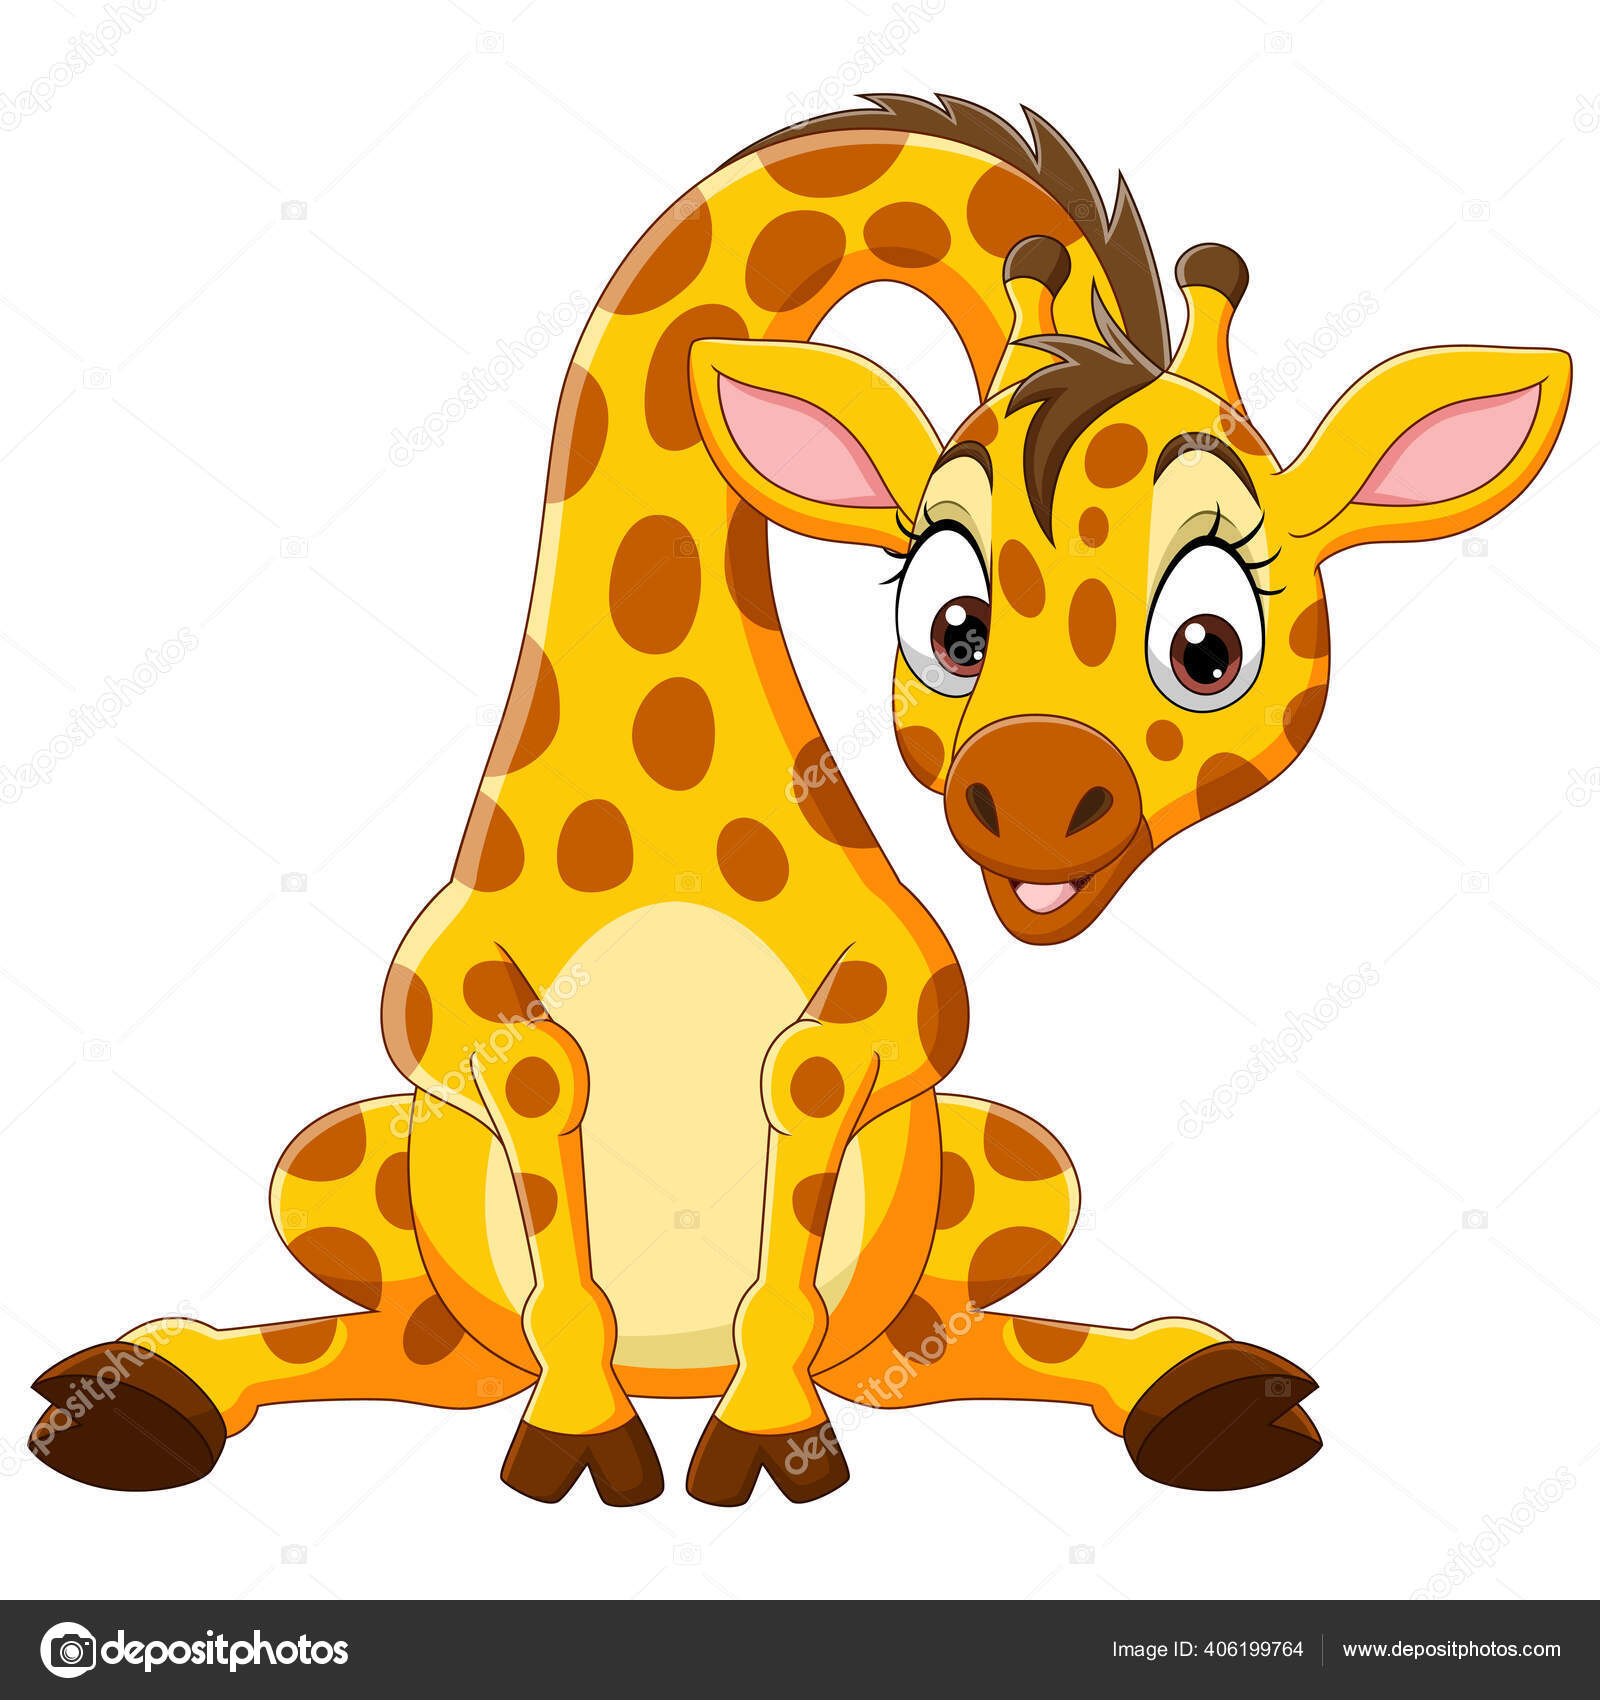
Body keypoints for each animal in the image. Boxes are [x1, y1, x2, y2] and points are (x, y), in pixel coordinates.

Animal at [31, 96, 1569, 1508]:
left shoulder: (902, 1006)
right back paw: (149, 1387)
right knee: (435, 1347)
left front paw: (765, 1431)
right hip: (343, 1164)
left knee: (920, 1343)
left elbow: (806, 1096)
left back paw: (1193, 1385)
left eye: (1210, 645)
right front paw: (585, 1426)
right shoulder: (441, 995)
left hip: (1010, 1165)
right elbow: (541, 1082)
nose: (1031, 801)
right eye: (951, 617)